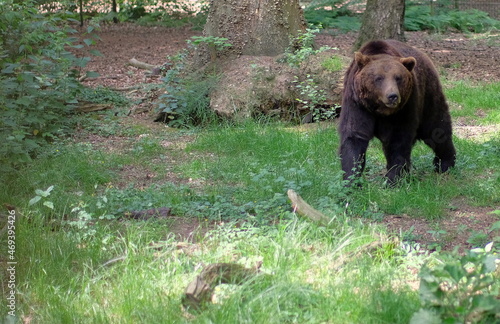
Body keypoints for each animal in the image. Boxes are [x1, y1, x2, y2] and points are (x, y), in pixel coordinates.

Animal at [338, 39, 456, 185]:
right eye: (378, 78)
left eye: (398, 77)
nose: (393, 96)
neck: (379, 110)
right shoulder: (357, 104)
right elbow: (354, 136)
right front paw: (351, 181)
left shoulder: (404, 108)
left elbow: (398, 140)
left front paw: (393, 179)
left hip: (428, 94)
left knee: (436, 128)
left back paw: (444, 163)